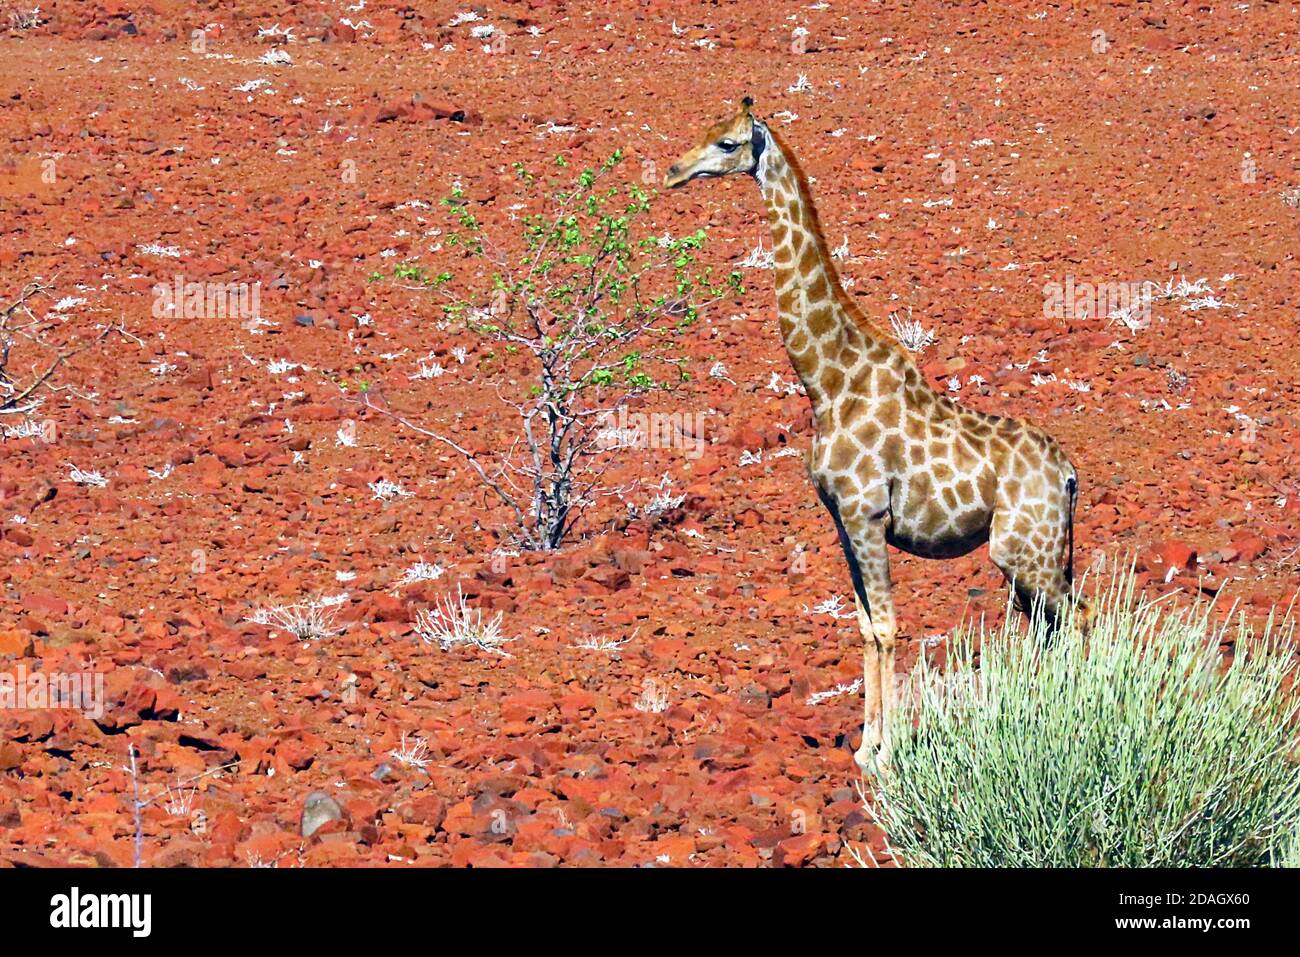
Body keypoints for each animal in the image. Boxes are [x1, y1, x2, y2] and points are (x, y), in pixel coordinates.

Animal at [665, 98, 1081, 769]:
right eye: (704, 131)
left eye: (728, 143)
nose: (675, 171)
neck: (827, 379)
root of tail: (1069, 475)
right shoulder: (842, 519)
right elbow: (864, 626)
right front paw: (866, 745)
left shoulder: (866, 513)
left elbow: (886, 626)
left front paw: (883, 754)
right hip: (1034, 556)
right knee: (1050, 626)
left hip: (1024, 549)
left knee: (1078, 617)